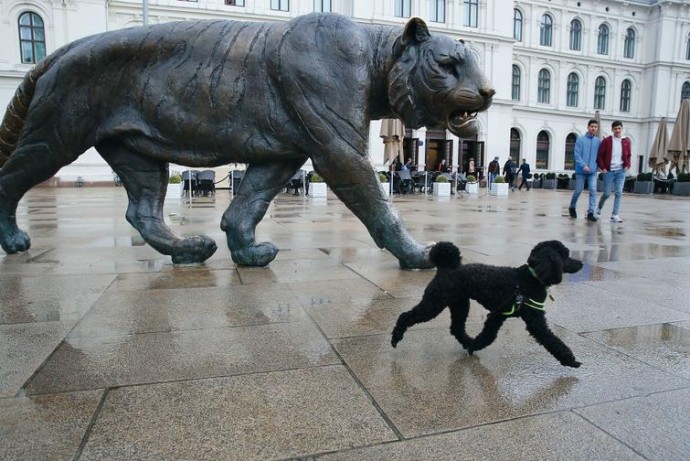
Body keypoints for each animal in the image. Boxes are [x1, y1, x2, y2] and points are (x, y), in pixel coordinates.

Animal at [392, 241, 580, 366]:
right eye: (566, 255)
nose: (581, 263)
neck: (529, 278)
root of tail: (445, 269)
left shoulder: (498, 315)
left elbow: (488, 335)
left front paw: (474, 346)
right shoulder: (534, 322)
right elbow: (551, 340)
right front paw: (570, 359)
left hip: (460, 304)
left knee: (456, 328)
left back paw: (467, 341)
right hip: (434, 303)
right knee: (405, 316)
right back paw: (396, 337)